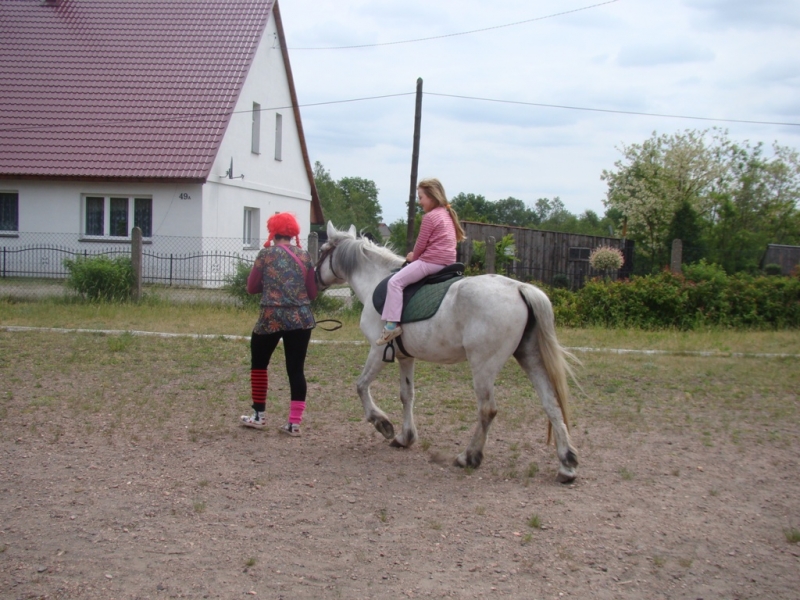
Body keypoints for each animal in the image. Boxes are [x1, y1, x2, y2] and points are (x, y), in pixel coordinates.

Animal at [316, 221, 580, 482]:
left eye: (321, 251)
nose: (314, 278)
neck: (376, 281)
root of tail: (520, 288)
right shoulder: (405, 357)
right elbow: (406, 395)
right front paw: (405, 437)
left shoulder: (378, 351)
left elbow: (361, 386)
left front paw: (383, 424)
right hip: (529, 357)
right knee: (551, 404)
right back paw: (566, 464)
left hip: (483, 366)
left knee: (487, 410)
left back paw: (469, 457)